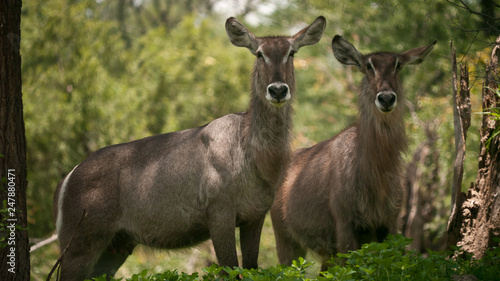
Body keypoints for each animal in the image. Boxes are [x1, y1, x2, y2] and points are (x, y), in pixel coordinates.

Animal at [52, 16, 326, 278]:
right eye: (259, 53)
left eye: (292, 52)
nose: (278, 90)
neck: (255, 159)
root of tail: (69, 177)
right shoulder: (219, 213)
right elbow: (229, 269)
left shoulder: (255, 216)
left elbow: (250, 268)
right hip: (78, 244)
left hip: (117, 245)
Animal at [270, 34, 434, 270]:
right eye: (368, 66)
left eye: (398, 65)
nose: (386, 98)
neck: (376, 176)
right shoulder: (345, 224)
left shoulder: (390, 223)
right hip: (286, 240)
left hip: (327, 253)